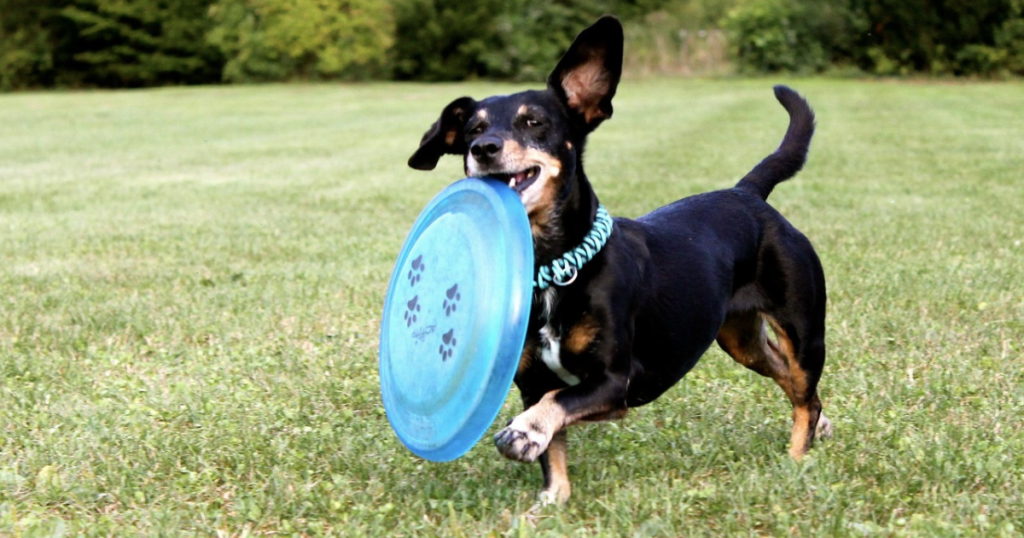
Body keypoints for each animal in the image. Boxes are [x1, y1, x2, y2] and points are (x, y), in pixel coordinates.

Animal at [403, 16, 827, 504]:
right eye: (473, 128)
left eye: (534, 122)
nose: (484, 148)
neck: (556, 270)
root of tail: (747, 194)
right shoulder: (533, 382)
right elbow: (554, 449)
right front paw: (551, 500)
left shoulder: (615, 382)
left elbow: (557, 405)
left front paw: (523, 432)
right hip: (741, 339)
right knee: (788, 377)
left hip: (804, 329)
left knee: (805, 389)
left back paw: (797, 456)